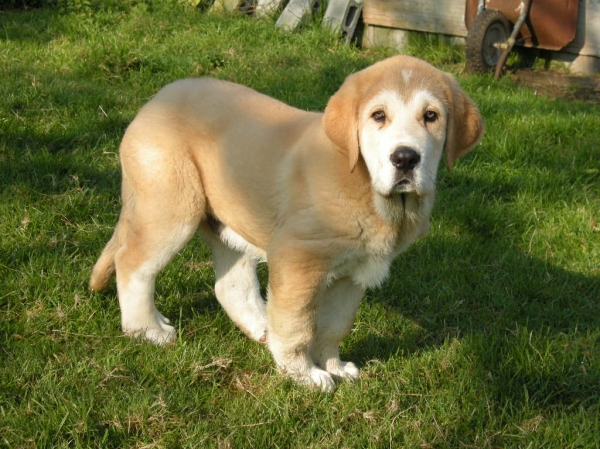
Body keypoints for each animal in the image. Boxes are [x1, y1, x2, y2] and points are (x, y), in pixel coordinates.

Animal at [90, 56, 482, 390]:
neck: (365, 185)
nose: (405, 158)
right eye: (378, 116)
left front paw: (335, 366)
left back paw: (262, 327)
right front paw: (305, 374)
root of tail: (157, 98)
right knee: (132, 263)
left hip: (226, 221)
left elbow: (333, 326)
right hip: (170, 206)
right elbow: (298, 326)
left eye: (431, 116)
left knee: (230, 285)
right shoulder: (297, 261)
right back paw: (147, 330)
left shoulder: (354, 272)